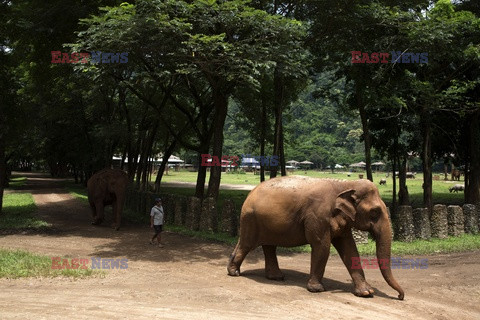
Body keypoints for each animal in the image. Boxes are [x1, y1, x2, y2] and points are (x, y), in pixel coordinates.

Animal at [229, 176, 404, 302]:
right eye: (374, 212)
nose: (400, 296)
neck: (344, 184)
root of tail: (250, 194)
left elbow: (350, 249)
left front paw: (366, 292)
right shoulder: (317, 216)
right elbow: (322, 247)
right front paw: (317, 289)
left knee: (269, 246)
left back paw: (276, 277)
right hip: (250, 219)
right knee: (246, 244)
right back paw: (234, 272)